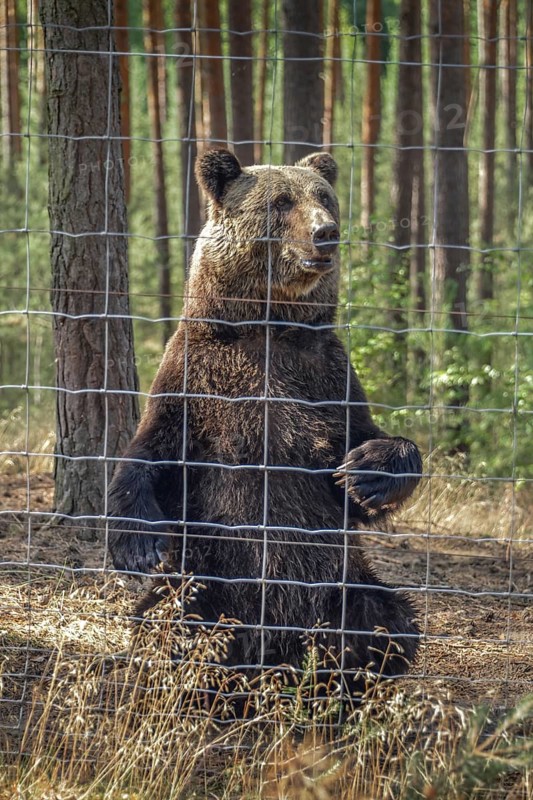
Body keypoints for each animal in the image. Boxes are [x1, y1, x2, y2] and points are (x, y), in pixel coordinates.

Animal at [107, 148, 422, 697]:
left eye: (324, 197)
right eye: (280, 202)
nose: (326, 232)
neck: (268, 325)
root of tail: (276, 646)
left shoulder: (325, 376)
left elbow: (362, 451)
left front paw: (365, 473)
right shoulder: (196, 380)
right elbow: (151, 453)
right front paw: (139, 547)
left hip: (340, 580)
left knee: (386, 618)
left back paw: (344, 678)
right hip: (214, 577)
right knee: (175, 616)